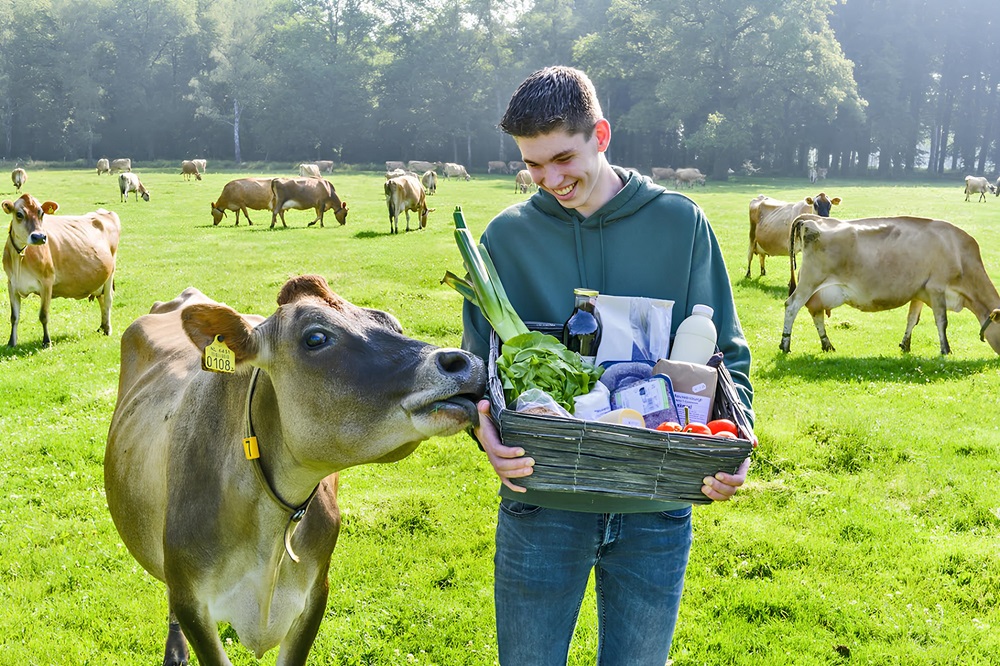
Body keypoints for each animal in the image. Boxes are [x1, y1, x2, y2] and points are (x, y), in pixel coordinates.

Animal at [2, 192, 120, 344]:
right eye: (19, 214)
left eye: (41, 213)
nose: (39, 237)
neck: (20, 258)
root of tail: (104, 212)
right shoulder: (11, 284)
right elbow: (14, 317)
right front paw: (11, 342)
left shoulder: (47, 282)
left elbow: (43, 315)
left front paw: (47, 341)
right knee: (101, 297)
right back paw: (102, 326)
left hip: (111, 272)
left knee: (108, 299)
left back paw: (108, 329)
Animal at [103, 272, 486, 664]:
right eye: (315, 338)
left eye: (393, 324)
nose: (464, 361)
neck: (269, 527)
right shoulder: (192, 600)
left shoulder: (315, 592)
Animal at [780, 215, 1000, 356]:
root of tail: (811, 220)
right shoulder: (936, 288)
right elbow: (942, 322)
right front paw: (946, 350)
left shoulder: (920, 292)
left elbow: (912, 319)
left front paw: (905, 345)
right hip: (810, 282)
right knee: (791, 306)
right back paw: (785, 344)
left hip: (817, 290)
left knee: (815, 312)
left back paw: (827, 345)